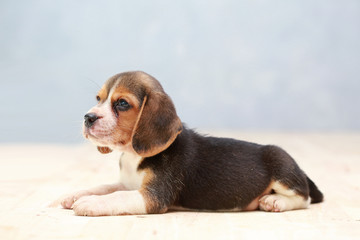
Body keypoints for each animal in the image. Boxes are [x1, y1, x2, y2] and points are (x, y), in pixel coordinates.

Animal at [59, 71, 324, 216]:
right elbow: (106, 187)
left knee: (305, 197)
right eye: (98, 99)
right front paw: (78, 194)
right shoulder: (128, 184)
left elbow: (116, 197)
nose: (88, 117)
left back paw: (275, 200)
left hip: (281, 165)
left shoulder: (153, 196)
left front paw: (90, 203)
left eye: (122, 103)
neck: (134, 154)